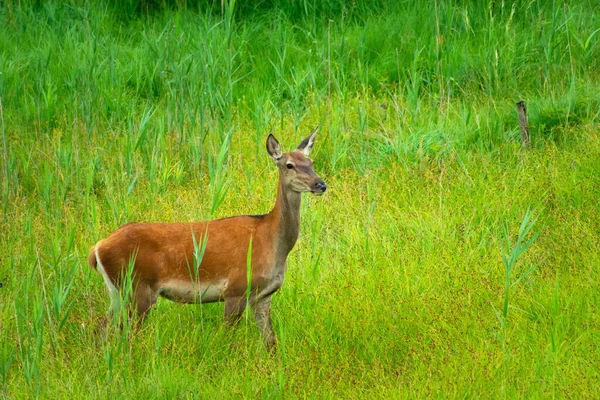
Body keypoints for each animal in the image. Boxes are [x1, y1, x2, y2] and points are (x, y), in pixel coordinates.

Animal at [86, 126, 326, 348]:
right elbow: (227, 340)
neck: (271, 240)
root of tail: (96, 249)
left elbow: (271, 342)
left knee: (100, 329)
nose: (320, 184)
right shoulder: (236, 289)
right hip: (137, 288)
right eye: (289, 165)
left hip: (118, 291)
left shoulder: (264, 296)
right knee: (125, 334)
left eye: (311, 161)